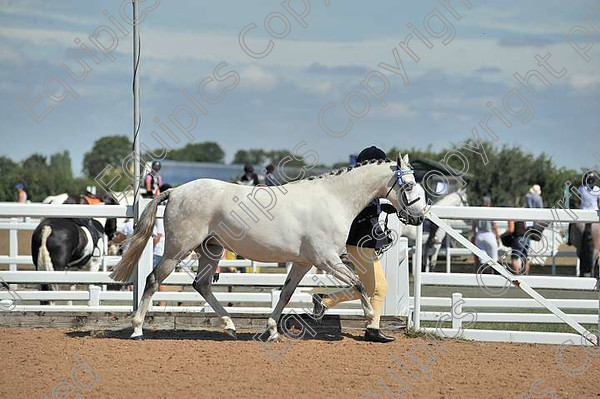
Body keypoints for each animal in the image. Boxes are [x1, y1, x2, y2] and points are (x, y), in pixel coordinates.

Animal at [109, 155, 426, 340]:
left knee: (202, 284)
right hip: (177, 249)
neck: (333, 199)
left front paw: (272, 330)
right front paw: (371, 321)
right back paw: (137, 329)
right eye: (409, 185)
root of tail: (176, 191)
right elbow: (360, 284)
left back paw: (230, 326)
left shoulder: (303, 263)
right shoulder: (326, 260)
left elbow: (285, 294)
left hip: (211, 250)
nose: (420, 217)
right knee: (153, 280)